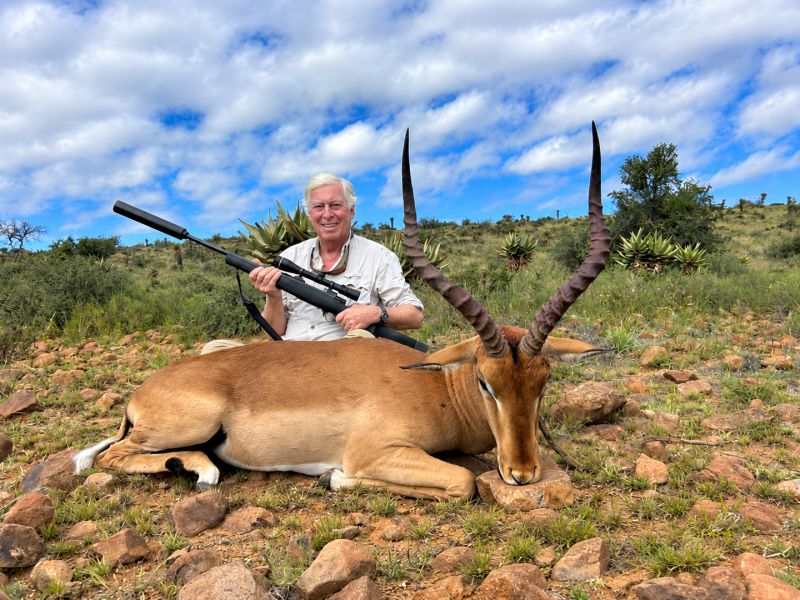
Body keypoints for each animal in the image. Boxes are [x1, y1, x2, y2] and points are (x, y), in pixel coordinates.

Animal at [74, 123, 610, 501]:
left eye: (543, 382)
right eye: (485, 381)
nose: (523, 474)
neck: (437, 388)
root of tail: (141, 394)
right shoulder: (377, 453)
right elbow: (462, 482)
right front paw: (334, 479)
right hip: (188, 425)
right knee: (110, 456)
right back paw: (201, 472)